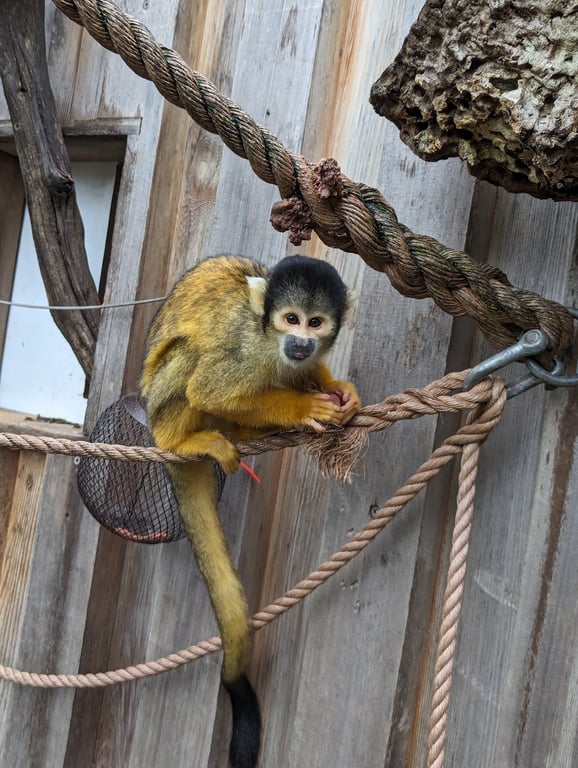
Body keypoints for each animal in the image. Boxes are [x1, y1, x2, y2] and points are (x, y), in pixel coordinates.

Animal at [139, 255, 360, 768]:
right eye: (291, 318)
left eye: (315, 323)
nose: (301, 342)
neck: (271, 338)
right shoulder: (248, 348)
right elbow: (211, 388)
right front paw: (302, 406)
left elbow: (304, 372)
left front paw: (338, 390)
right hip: (159, 404)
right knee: (190, 363)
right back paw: (183, 440)